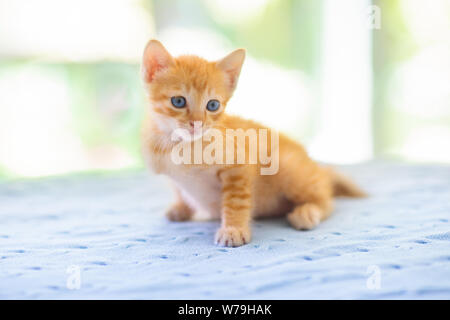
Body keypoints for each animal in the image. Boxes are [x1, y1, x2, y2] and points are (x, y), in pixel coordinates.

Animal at [141, 38, 366, 248]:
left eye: (212, 105)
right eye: (178, 101)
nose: (197, 123)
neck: (181, 146)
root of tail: (318, 168)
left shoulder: (238, 166)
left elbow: (236, 201)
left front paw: (233, 230)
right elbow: (178, 189)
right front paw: (181, 208)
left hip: (285, 165)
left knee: (327, 197)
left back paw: (308, 211)